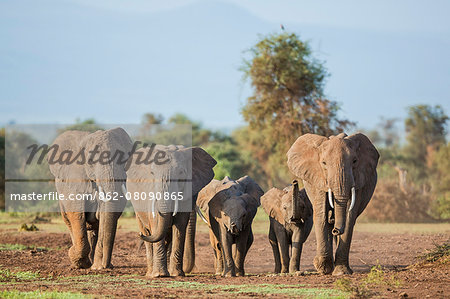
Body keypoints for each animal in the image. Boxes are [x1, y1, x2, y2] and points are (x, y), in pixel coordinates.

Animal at [49, 127, 134, 270]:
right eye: (91, 161)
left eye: (124, 160)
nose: (106, 266)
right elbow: (76, 213)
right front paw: (79, 261)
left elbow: (105, 214)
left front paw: (98, 267)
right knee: (69, 220)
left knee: (94, 227)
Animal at [125, 145, 217, 278]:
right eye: (152, 174)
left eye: (181, 175)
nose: (139, 235)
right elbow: (156, 221)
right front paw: (160, 275)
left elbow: (180, 225)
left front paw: (177, 274)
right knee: (148, 231)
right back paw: (150, 273)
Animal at [286, 134, 378, 276]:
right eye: (323, 163)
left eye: (354, 161)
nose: (336, 230)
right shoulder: (318, 179)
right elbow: (321, 215)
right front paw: (323, 268)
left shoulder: (358, 179)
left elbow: (350, 217)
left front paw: (341, 272)